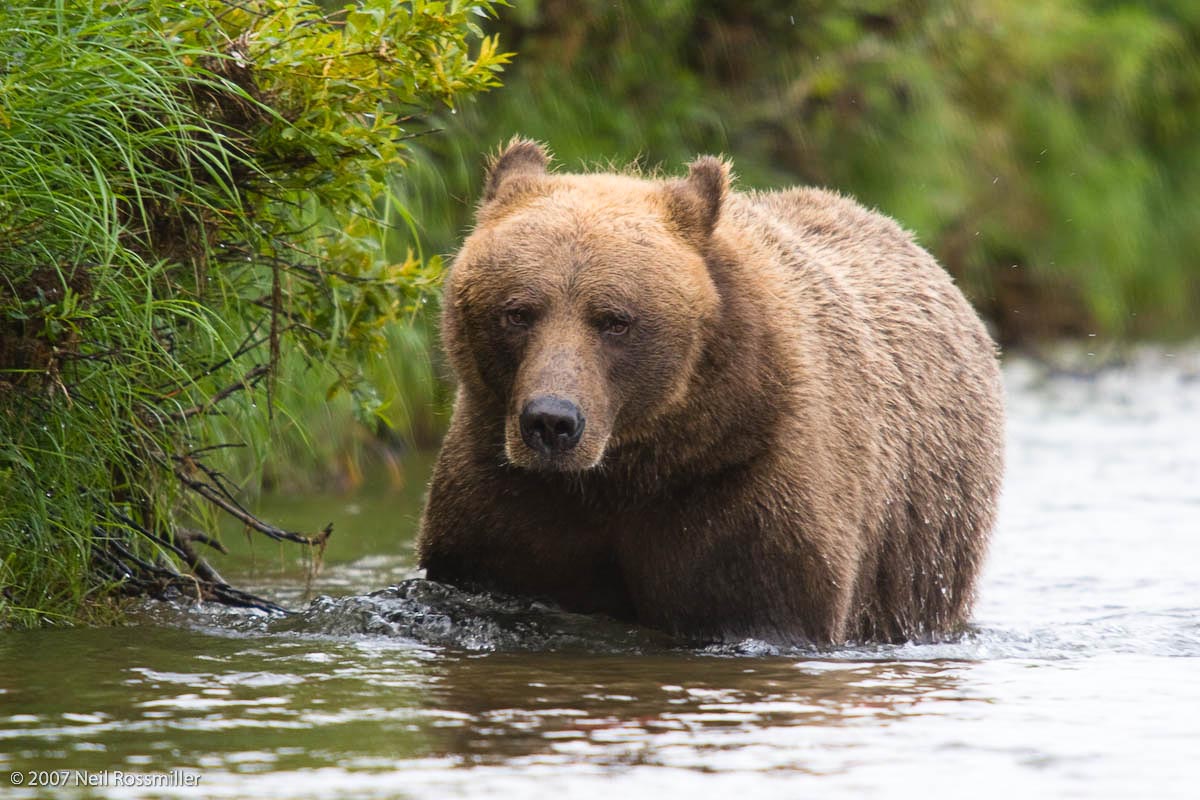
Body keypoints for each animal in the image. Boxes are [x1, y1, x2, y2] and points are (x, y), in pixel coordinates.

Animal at [415, 138, 1005, 646]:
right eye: (517, 311)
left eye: (615, 320)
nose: (551, 422)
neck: (627, 470)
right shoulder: (505, 500)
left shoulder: (744, 489)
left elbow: (761, 600)